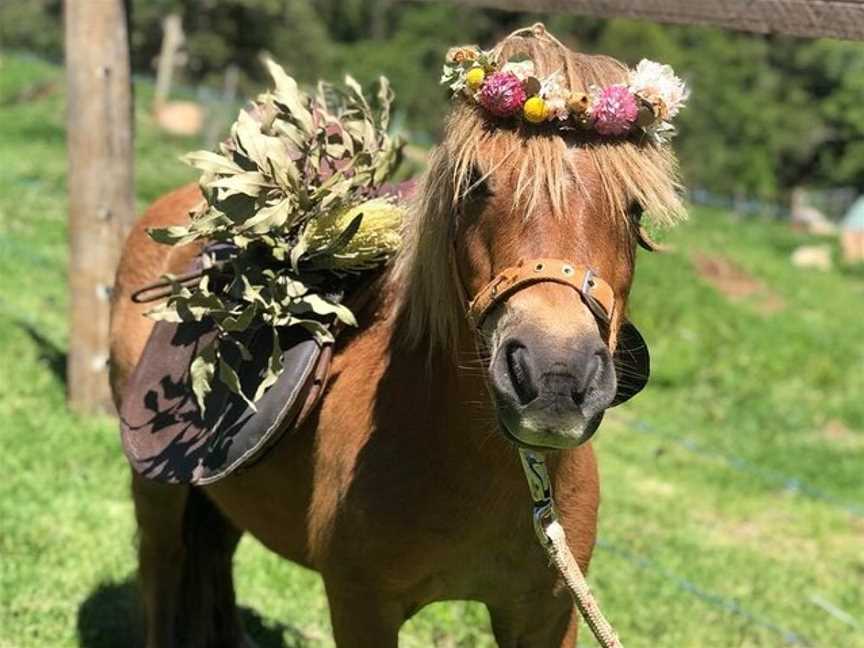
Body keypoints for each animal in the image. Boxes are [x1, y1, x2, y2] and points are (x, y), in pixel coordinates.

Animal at [111, 27, 684, 648]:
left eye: (635, 210)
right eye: (476, 185)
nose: (555, 378)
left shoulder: (547, 612)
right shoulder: (362, 606)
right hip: (156, 490)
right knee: (162, 573)